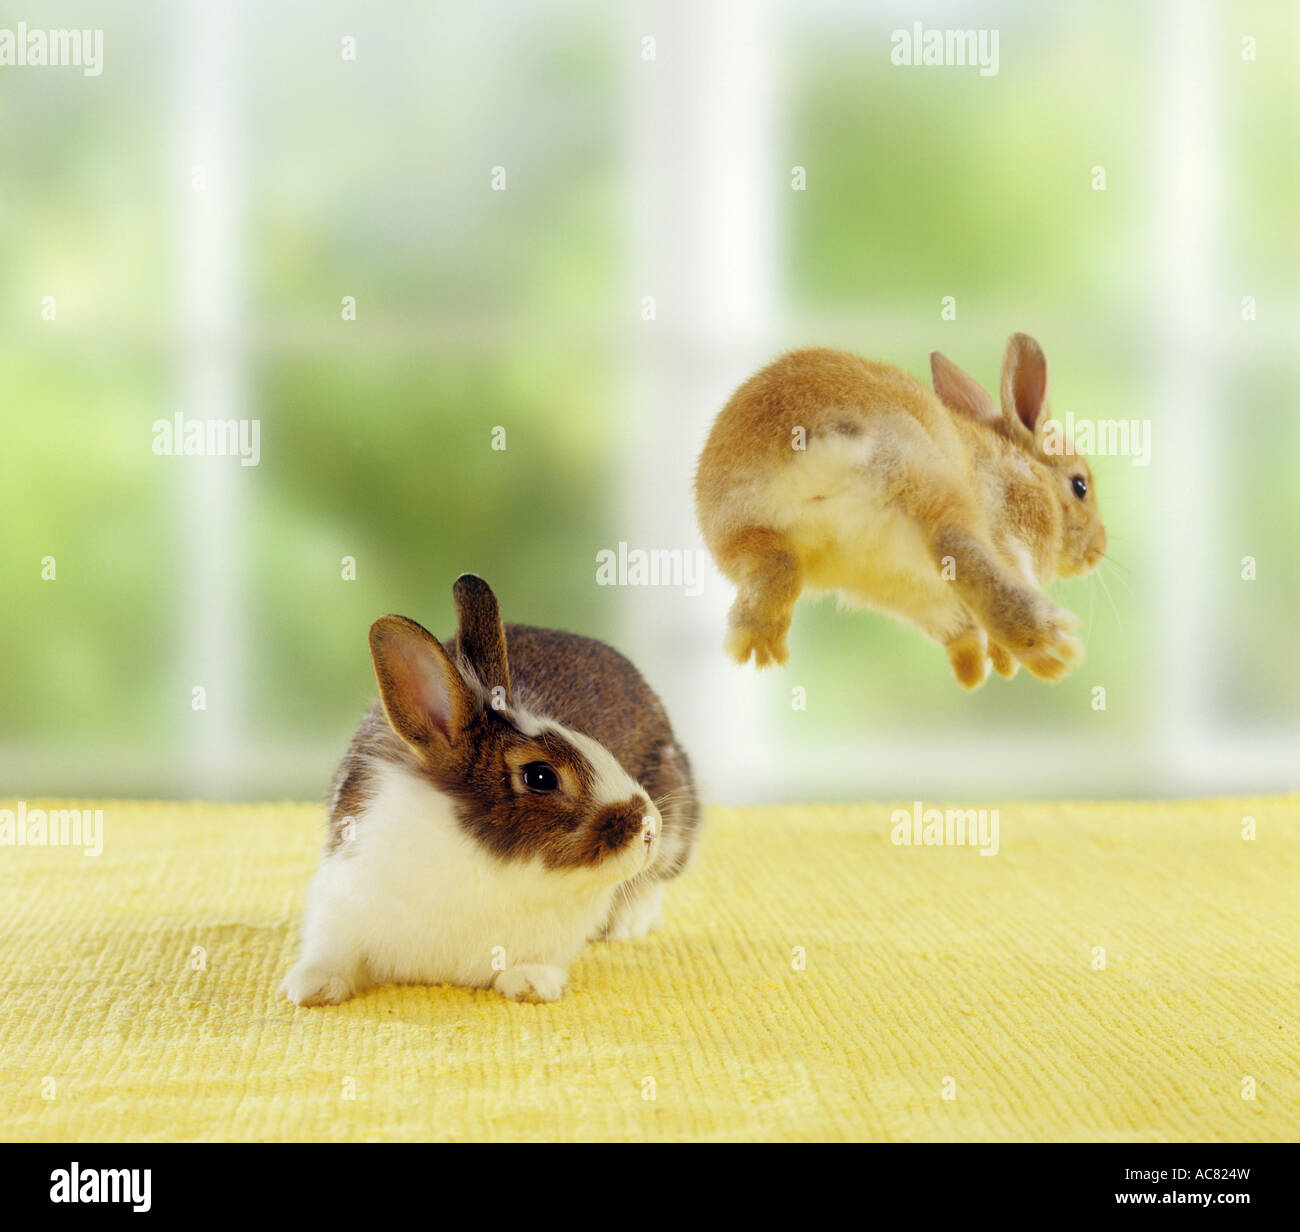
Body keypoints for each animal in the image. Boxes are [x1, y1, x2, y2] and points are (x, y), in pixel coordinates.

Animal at [279, 573, 700, 1005]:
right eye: (540, 776)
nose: (650, 828)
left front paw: (532, 983)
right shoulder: (341, 903)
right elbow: (334, 954)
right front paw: (311, 987)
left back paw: (626, 924)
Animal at [694, 333, 1107, 689]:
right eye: (1080, 486)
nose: (1097, 552)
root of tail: (814, 433)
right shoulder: (1011, 542)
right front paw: (1005, 660)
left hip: (745, 535)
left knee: (775, 569)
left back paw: (758, 641)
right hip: (929, 485)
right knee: (960, 551)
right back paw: (1043, 645)